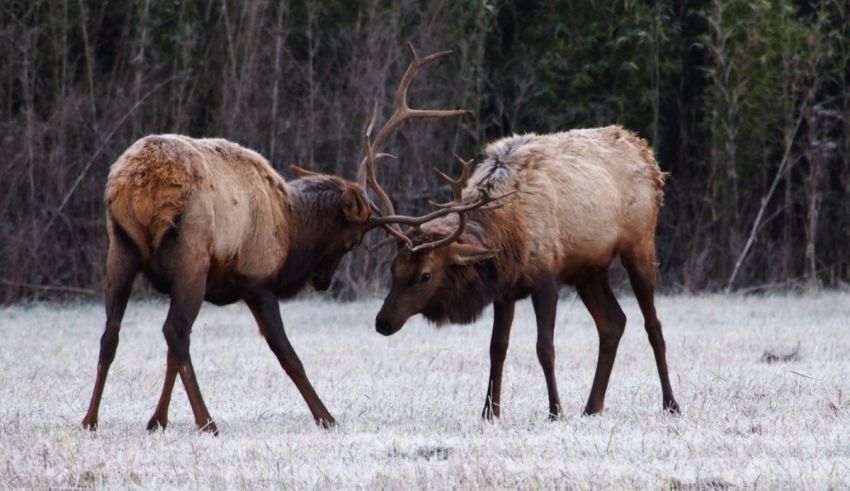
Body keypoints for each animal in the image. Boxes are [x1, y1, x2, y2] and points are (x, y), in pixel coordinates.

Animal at [80, 43, 468, 434]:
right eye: (351, 241)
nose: (323, 282)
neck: (291, 227)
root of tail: (139, 187)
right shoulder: (257, 279)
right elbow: (287, 353)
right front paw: (326, 417)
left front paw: (156, 420)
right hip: (192, 256)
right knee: (175, 331)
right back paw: (207, 422)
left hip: (120, 248)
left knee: (112, 333)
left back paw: (89, 419)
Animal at [370, 127, 680, 420]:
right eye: (394, 268)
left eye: (426, 275)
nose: (382, 322)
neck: (506, 236)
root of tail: (648, 155)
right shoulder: (504, 290)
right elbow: (497, 348)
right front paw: (490, 413)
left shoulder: (545, 278)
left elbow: (545, 348)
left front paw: (555, 411)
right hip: (589, 270)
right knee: (613, 322)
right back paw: (592, 407)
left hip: (639, 244)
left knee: (653, 325)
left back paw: (671, 404)